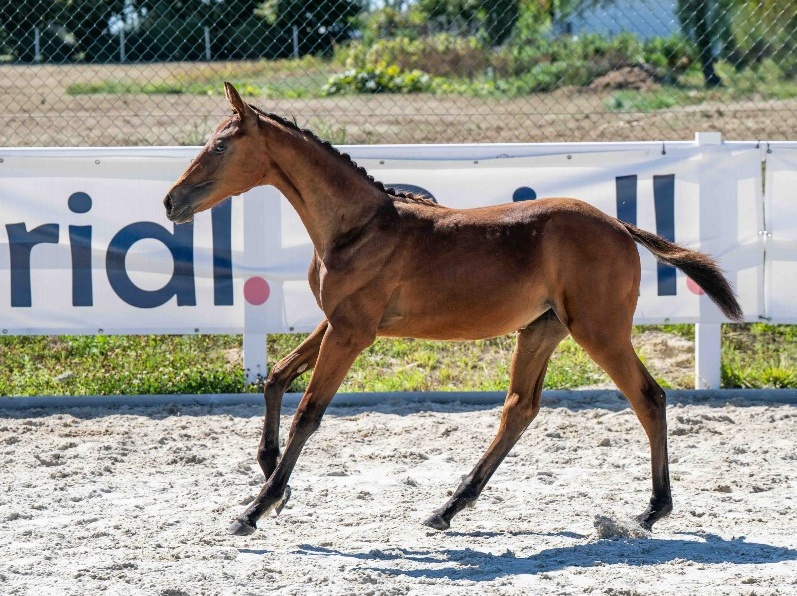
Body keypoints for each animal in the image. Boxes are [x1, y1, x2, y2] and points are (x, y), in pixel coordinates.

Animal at [163, 83, 743, 536]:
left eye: (220, 145)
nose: (171, 201)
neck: (357, 227)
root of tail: (619, 225)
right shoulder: (336, 321)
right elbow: (277, 377)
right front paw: (273, 481)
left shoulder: (352, 332)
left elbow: (309, 412)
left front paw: (254, 508)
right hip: (541, 330)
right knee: (519, 410)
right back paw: (447, 507)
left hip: (599, 330)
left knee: (648, 398)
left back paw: (652, 510)